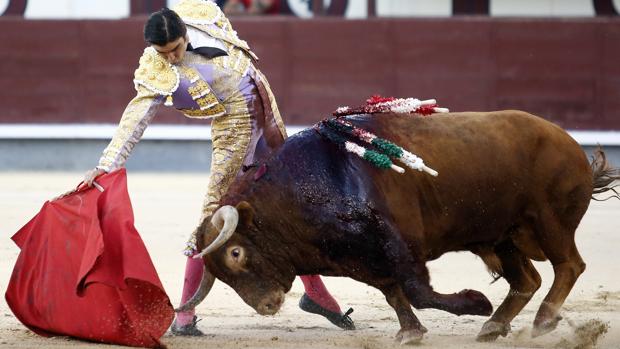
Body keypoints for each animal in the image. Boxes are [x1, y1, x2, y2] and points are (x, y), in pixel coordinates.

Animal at [177, 111, 616, 342]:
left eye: (236, 252)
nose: (266, 306)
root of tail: (569, 143)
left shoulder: (400, 245)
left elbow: (418, 290)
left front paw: (475, 302)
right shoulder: (363, 259)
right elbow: (394, 294)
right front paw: (411, 332)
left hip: (549, 223)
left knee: (569, 266)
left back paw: (540, 322)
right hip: (503, 237)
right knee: (526, 280)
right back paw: (494, 326)